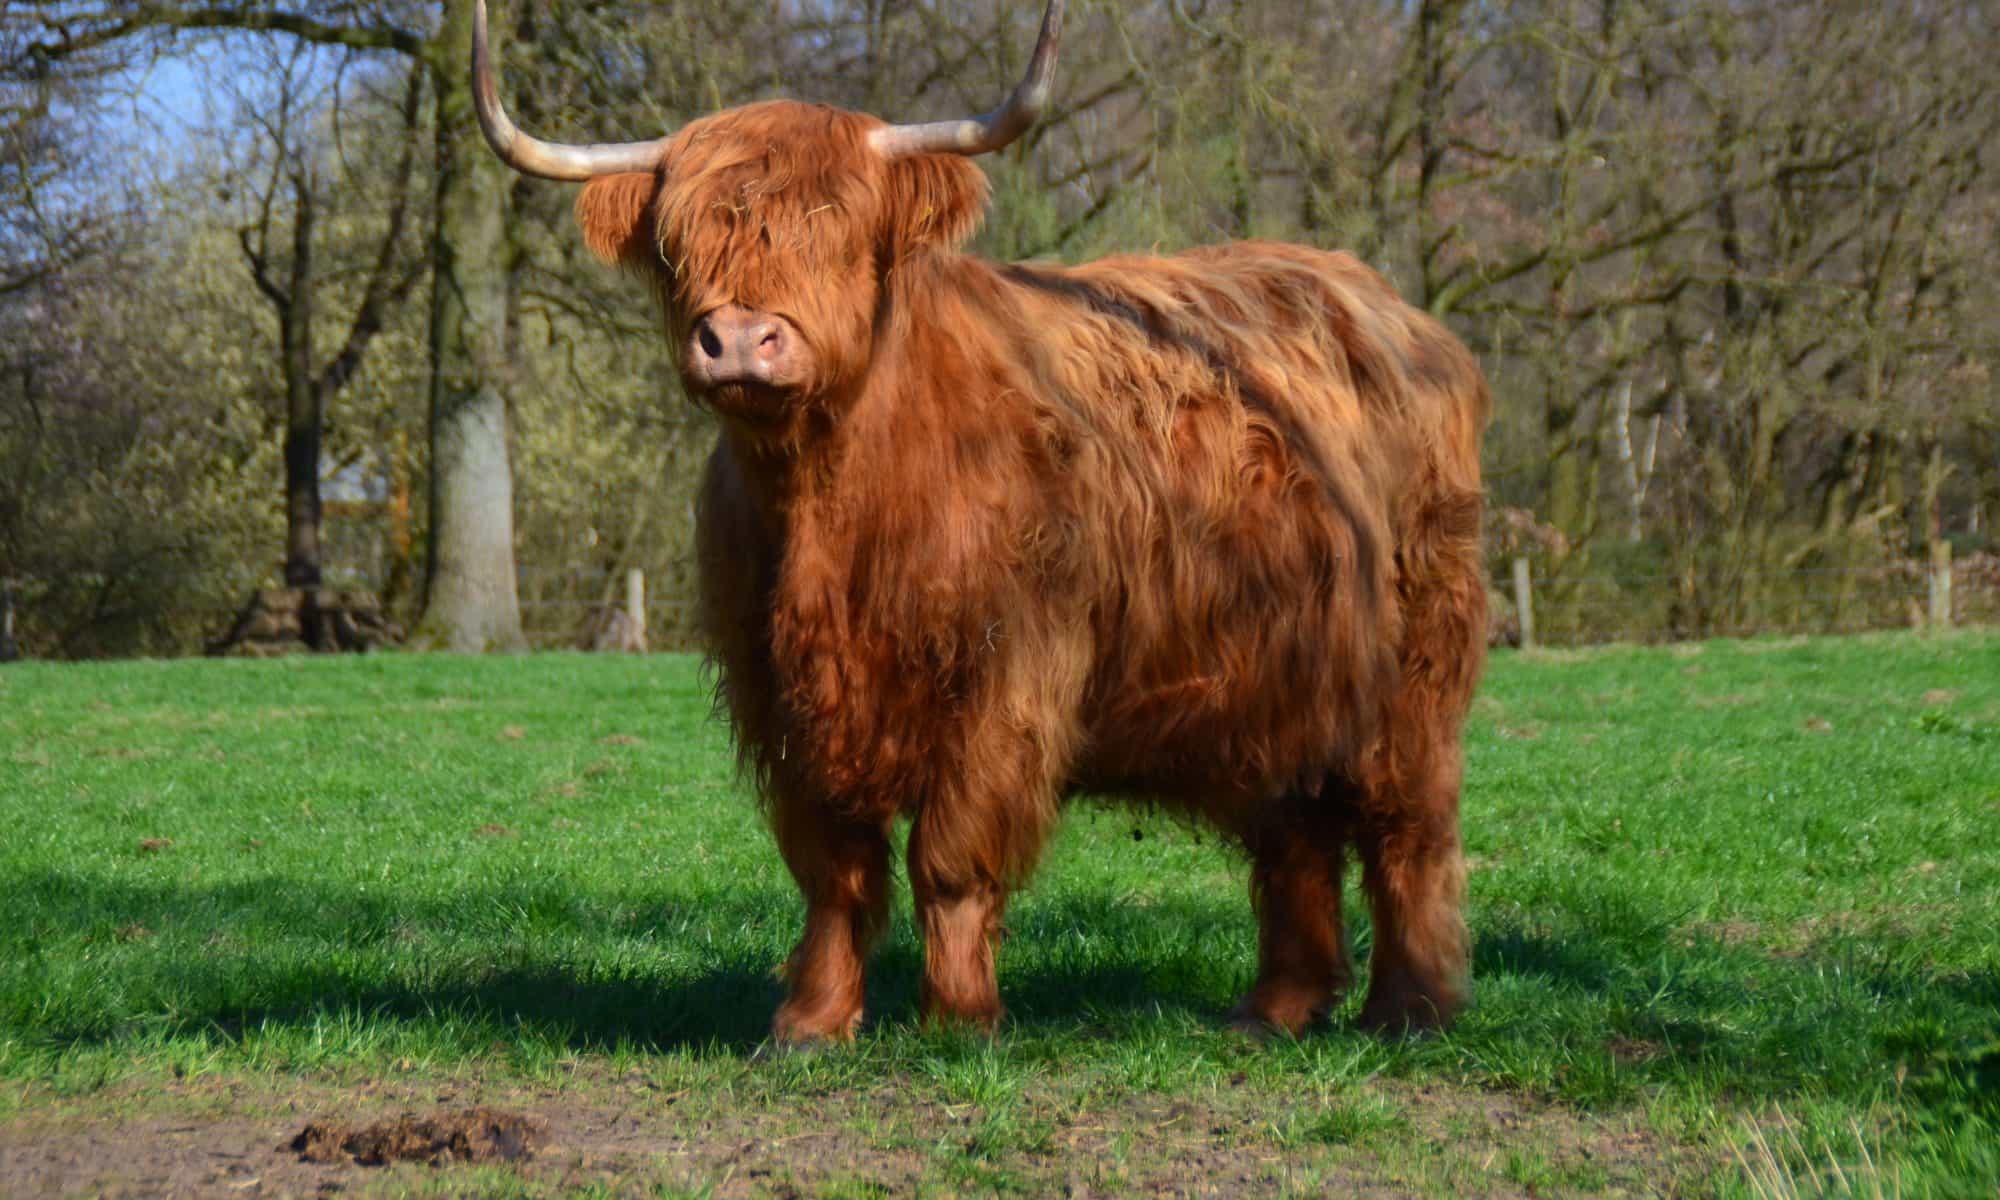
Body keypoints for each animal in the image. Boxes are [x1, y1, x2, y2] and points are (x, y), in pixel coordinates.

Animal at [476, 0, 1488, 1040]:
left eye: (843, 234)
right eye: (679, 243)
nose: (740, 339)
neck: (829, 504)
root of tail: (1384, 306)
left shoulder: (1006, 680)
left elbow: (951, 859)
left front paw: (959, 1020)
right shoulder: (781, 693)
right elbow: (832, 871)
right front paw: (810, 1024)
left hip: (1414, 670)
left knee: (1410, 829)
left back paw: (1412, 1006)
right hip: (1279, 679)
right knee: (1297, 832)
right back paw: (1274, 1009)